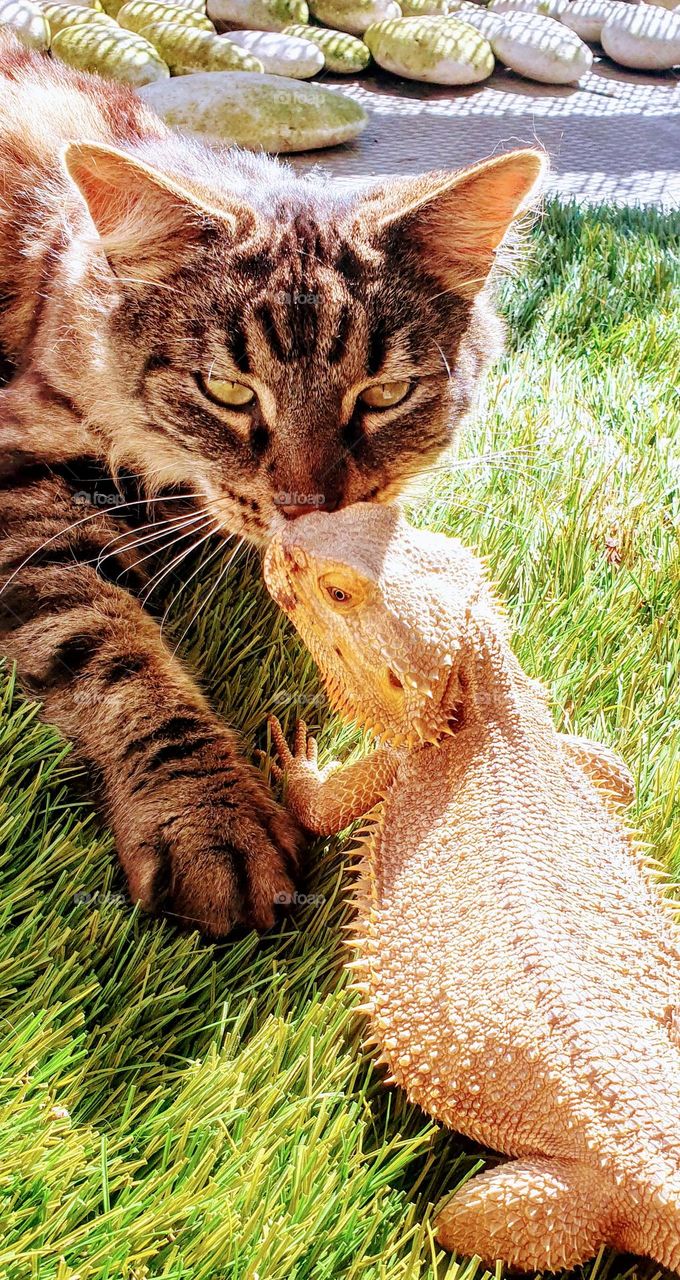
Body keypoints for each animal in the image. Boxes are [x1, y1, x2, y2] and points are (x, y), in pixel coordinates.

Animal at [0, 30, 545, 931]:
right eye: (228, 391)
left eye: (384, 394)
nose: (307, 506)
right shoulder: (22, 481)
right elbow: (111, 655)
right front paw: (207, 816)